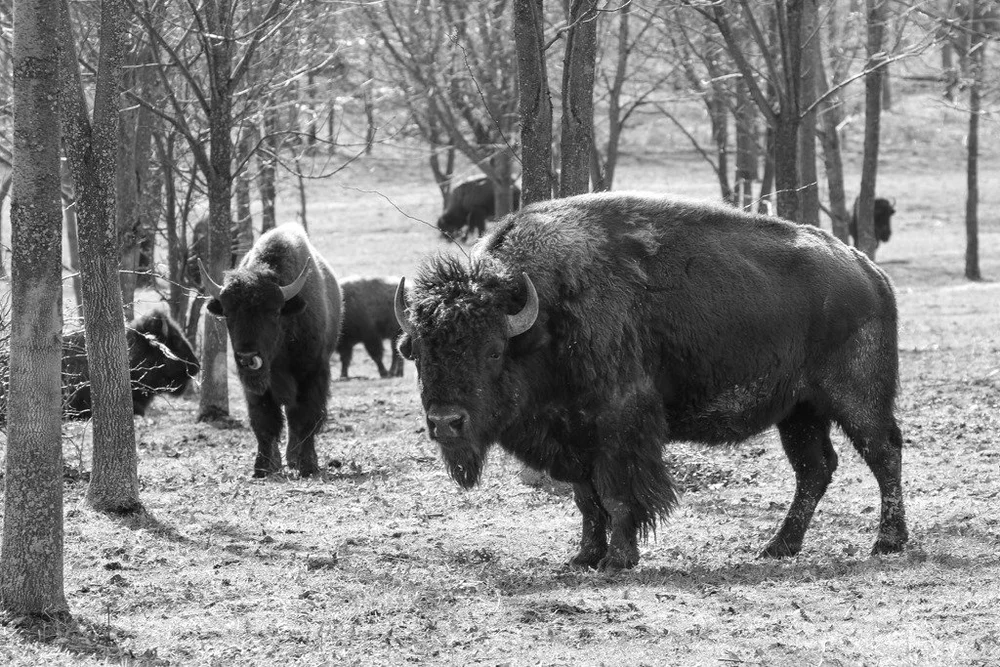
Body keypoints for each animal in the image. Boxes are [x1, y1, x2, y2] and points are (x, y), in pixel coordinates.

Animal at [202, 223, 342, 478]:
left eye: (274, 312)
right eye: (227, 313)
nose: (247, 357)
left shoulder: (313, 374)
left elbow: (306, 418)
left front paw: (307, 466)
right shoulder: (256, 387)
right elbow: (264, 421)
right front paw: (263, 467)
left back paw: (296, 459)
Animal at [395, 192, 908, 570]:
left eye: (493, 350)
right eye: (416, 351)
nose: (446, 422)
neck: (544, 315)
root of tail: (869, 271)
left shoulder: (620, 423)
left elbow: (618, 495)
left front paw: (618, 559)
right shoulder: (573, 436)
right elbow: (587, 499)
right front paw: (583, 556)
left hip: (856, 399)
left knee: (883, 452)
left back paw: (887, 542)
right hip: (798, 412)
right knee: (815, 468)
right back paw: (778, 547)